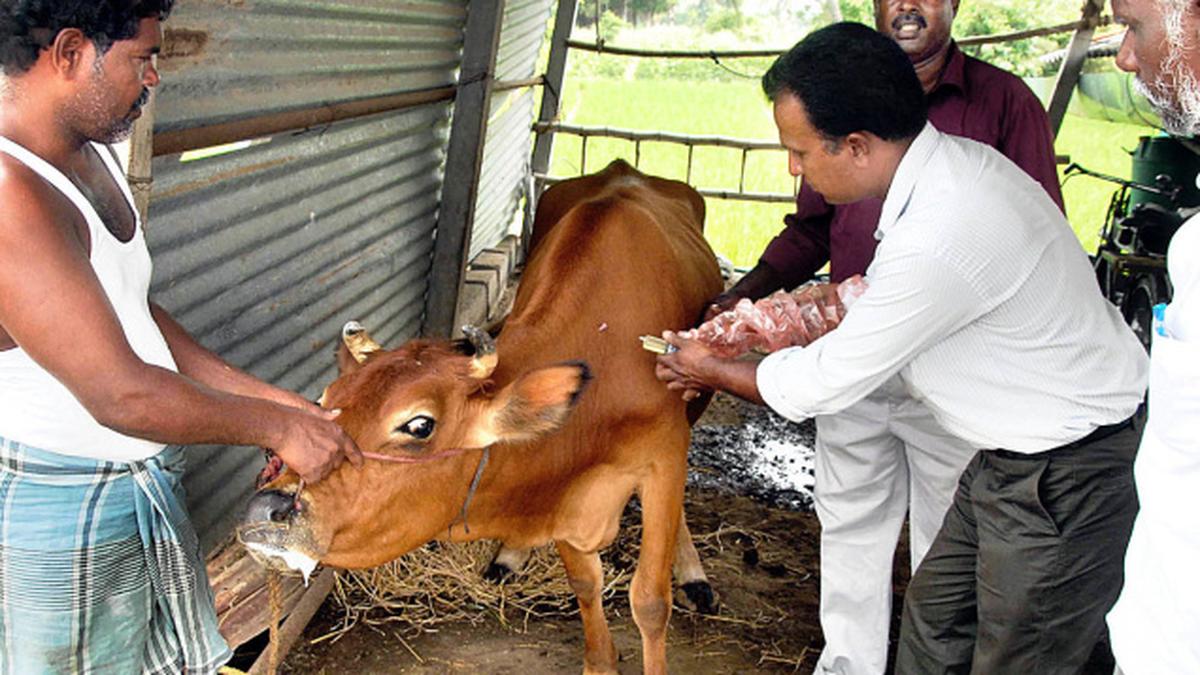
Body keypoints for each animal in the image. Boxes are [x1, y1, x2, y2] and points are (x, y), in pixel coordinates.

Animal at [240, 159, 723, 674]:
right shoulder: (561, 495)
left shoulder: (665, 456)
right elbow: (585, 583)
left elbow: (650, 601)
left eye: (419, 425)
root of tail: (623, 167)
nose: (264, 509)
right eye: (325, 397)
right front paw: (600, 660)